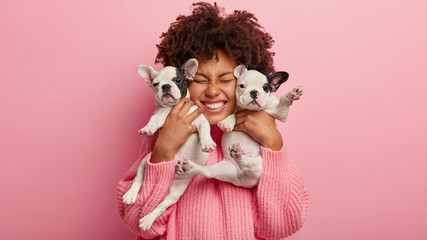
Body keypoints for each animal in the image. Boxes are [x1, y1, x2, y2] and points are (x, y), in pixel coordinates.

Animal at [123, 58, 217, 231]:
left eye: (177, 80)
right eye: (155, 84)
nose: (166, 86)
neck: (171, 108)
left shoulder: (200, 119)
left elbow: (205, 129)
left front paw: (207, 142)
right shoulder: (159, 115)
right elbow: (154, 120)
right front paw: (148, 128)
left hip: (175, 193)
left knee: (161, 206)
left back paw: (147, 219)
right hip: (146, 160)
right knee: (138, 179)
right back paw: (131, 196)